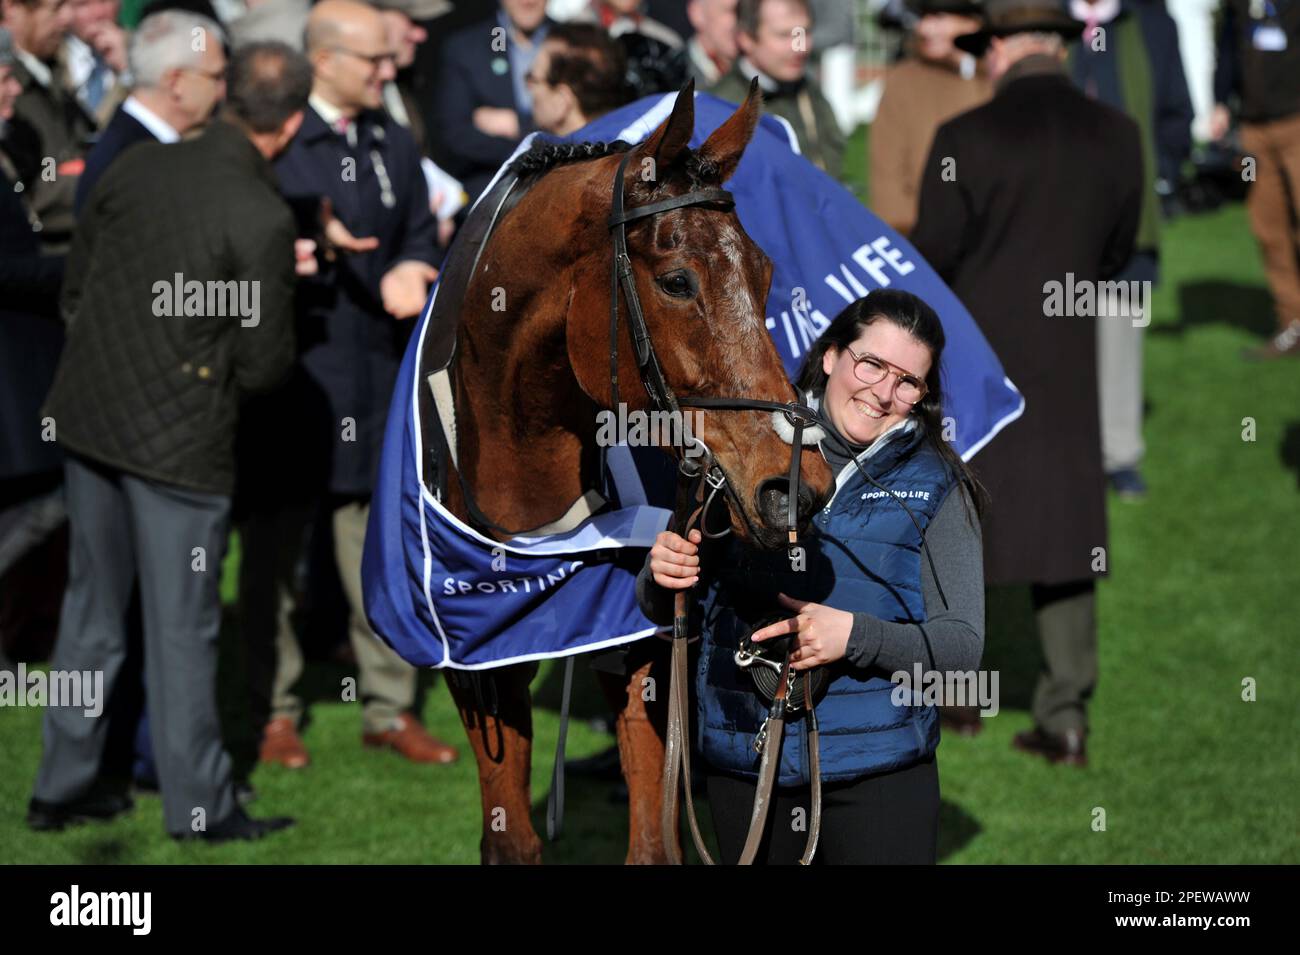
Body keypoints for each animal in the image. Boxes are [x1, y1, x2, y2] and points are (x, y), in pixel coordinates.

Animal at [428, 83, 832, 867]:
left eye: (766, 272)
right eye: (676, 281)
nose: (796, 487)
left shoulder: (643, 653)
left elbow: (654, 837)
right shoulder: (479, 663)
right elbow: (510, 835)